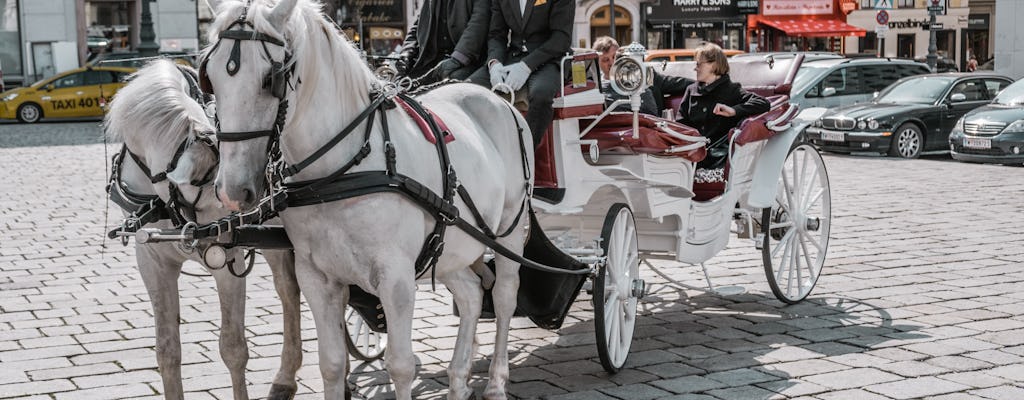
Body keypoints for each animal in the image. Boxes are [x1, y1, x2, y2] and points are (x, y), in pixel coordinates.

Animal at [105, 60, 301, 400]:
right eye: (211, 190)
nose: (244, 208)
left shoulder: (227, 262)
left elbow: (233, 348)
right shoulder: (152, 262)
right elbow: (167, 349)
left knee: (289, 291)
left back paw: (285, 378)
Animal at [202, 1, 532, 398]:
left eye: (270, 79)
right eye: (210, 79)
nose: (231, 190)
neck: (337, 173)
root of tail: (499, 99)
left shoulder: (397, 279)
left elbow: (400, 366)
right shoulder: (316, 277)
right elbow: (331, 364)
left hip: (509, 229)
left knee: (504, 295)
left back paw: (496, 381)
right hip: (452, 244)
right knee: (470, 295)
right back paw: (458, 379)